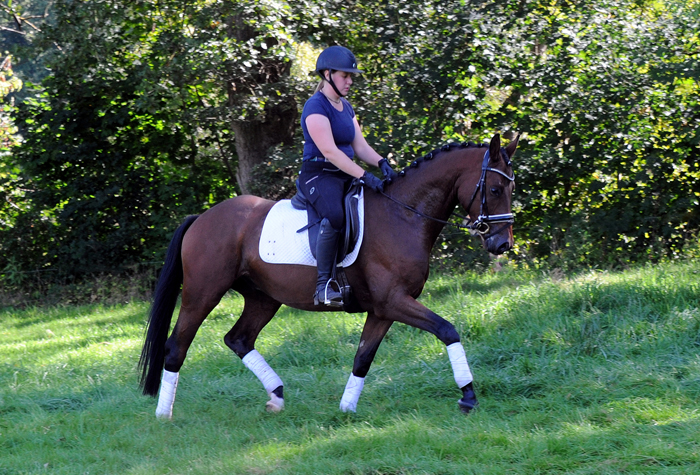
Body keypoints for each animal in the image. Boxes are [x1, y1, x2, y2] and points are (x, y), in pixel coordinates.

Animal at [139, 134, 516, 420]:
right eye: (496, 189)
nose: (502, 244)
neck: (403, 214)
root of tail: (202, 217)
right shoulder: (394, 302)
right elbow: (447, 330)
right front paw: (468, 396)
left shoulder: (382, 309)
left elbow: (363, 357)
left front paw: (346, 409)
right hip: (203, 293)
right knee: (177, 346)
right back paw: (163, 414)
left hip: (263, 298)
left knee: (239, 339)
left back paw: (276, 396)